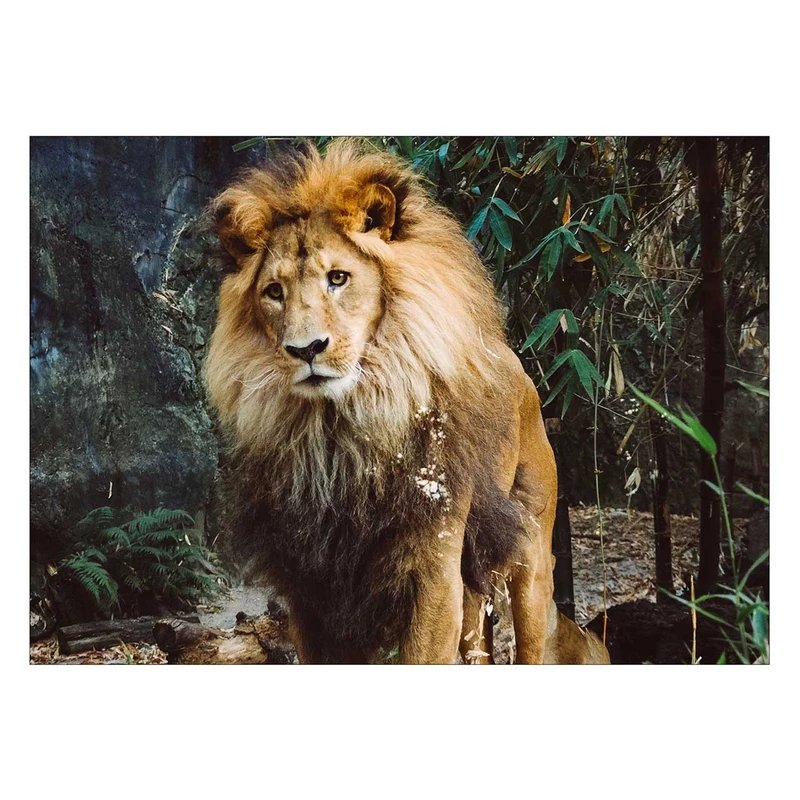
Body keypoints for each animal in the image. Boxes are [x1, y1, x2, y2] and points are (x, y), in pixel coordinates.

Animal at [205, 139, 608, 664]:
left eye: (338, 278)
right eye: (274, 292)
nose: (305, 349)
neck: (339, 431)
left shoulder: (433, 566)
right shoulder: (311, 584)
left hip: (533, 556)